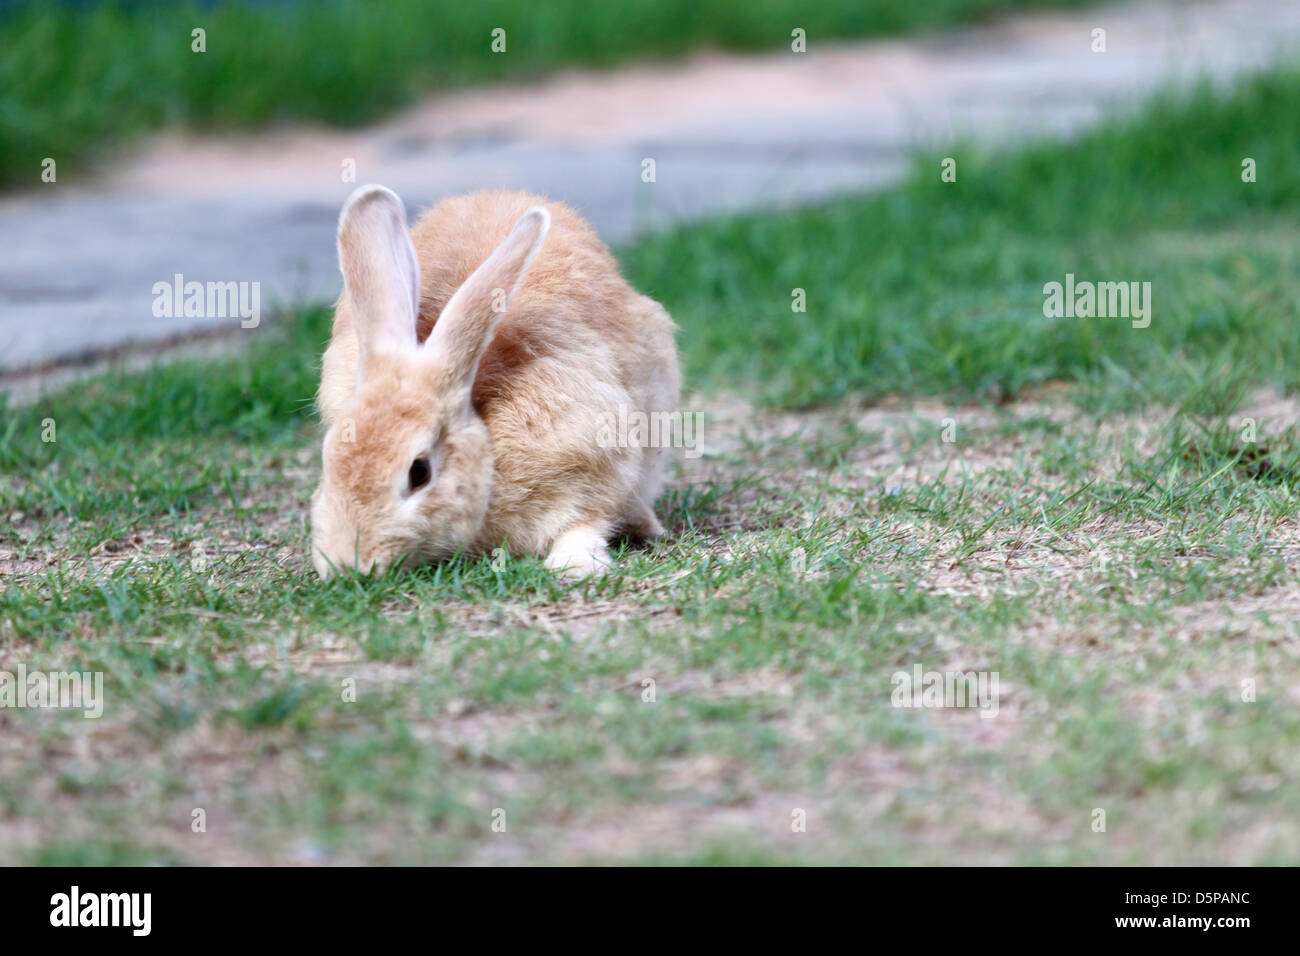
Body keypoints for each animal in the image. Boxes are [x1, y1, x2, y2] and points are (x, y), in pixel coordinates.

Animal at [309, 185, 680, 579]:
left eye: (419, 472)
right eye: (328, 459)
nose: (348, 565)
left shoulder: (596, 453)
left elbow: (587, 520)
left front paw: (572, 566)